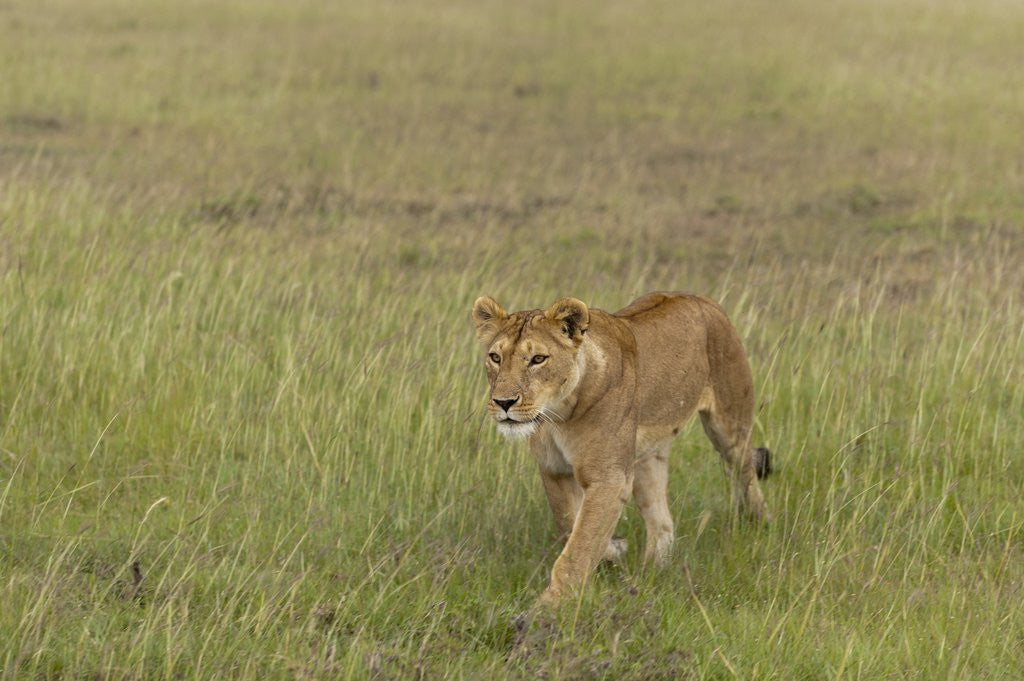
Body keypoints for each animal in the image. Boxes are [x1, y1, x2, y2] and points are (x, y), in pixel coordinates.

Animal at [471, 292, 771, 606]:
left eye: (538, 359)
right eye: (496, 357)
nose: (504, 402)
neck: (559, 414)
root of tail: (700, 297)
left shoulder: (609, 477)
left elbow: (580, 544)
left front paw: (550, 605)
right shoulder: (554, 471)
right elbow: (571, 525)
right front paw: (614, 550)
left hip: (730, 426)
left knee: (747, 477)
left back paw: (760, 525)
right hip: (647, 456)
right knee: (662, 523)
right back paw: (651, 571)